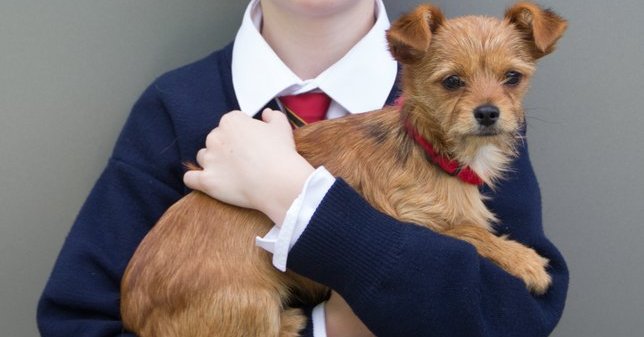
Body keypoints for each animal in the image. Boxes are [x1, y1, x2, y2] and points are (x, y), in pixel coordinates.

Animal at [119, 1, 564, 334]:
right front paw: (523, 259)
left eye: (512, 77)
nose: (488, 113)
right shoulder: (408, 218)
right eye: (452, 81)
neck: (428, 150)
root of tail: (134, 312)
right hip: (249, 300)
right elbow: (468, 233)